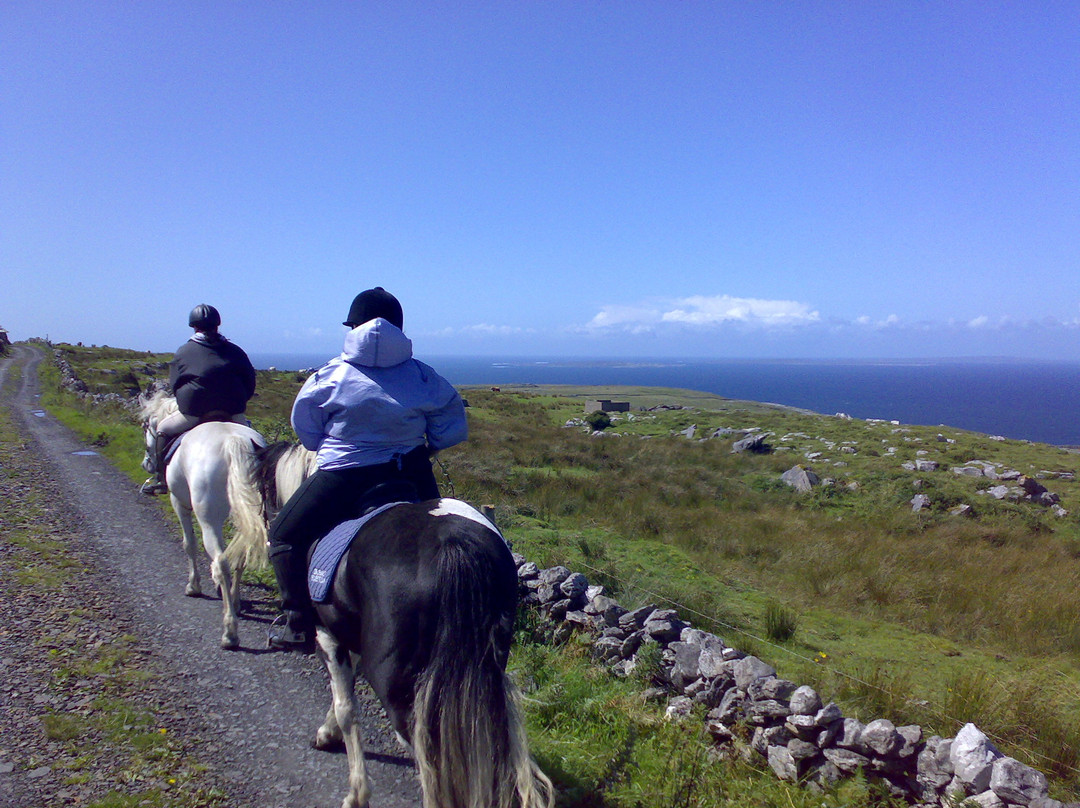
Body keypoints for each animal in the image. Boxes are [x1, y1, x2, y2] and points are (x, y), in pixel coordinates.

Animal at [139, 391, 267, 648]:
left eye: (145, 426)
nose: (146, 464)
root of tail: (233, 442)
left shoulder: (179, 503)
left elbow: (189, 544)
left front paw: (193, 586)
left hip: (208, 519)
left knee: (221, 562)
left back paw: (230, 632)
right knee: (240, 556)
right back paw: (235, 602)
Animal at [224, 442, 552, 808]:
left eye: (264, 490)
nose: (262, 524)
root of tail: (452, 544)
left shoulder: (329, 637)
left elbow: (346, 707)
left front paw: (356, 792)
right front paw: (327, 735)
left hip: (397, 687)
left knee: (430, 760)